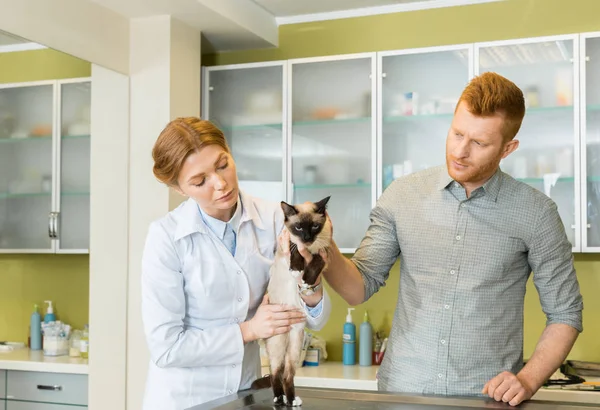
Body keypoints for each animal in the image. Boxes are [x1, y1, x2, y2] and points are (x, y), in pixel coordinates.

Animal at [268, 196, 332, 406]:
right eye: (298, 228)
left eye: (314, 226)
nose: (307, 238)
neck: (309, 248)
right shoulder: (288, 244)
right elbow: (294, 251)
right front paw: (297, 269)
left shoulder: (324, 251)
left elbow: (316, 262)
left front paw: (307, 280)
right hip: (278, 345)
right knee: (275, 373)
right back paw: (279, 399)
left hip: (295, 345)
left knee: (288, 375)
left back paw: (291, 400)